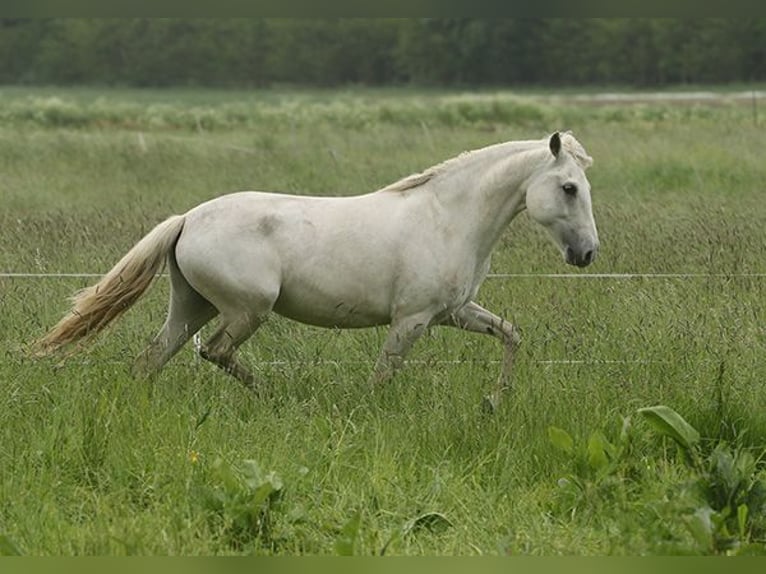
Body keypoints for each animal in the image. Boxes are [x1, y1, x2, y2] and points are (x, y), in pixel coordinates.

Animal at [34, 131, 598, 408]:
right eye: (569, 187)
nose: (588, 253)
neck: (448, 216)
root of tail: (188, 218)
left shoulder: (455, 312)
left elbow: (511, 335)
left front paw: (494, 402)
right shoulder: (412, 319)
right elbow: (384, 374)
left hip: (191, 306)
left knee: (152, 359)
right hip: (247, 310)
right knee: (214, 352)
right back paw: (275, 398)